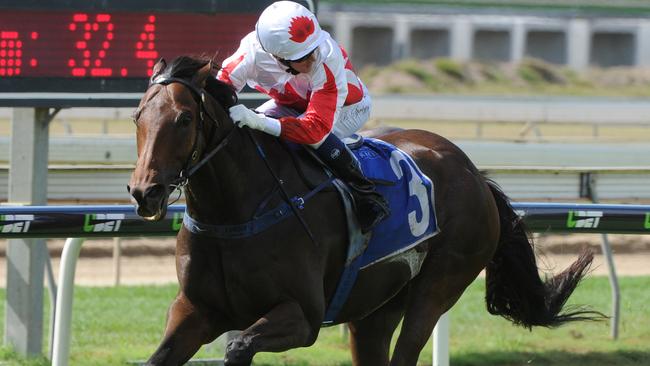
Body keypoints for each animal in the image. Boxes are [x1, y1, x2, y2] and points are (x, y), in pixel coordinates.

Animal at [125, 55, 596, 366]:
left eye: (185, 119)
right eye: (137, 116)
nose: (145, 191)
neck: (235, 214)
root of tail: (474, 173)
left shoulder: (304, 317)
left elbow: (239, 345)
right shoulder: (195, 309)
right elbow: (159, 356)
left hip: (439, 284)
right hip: (376, 308)